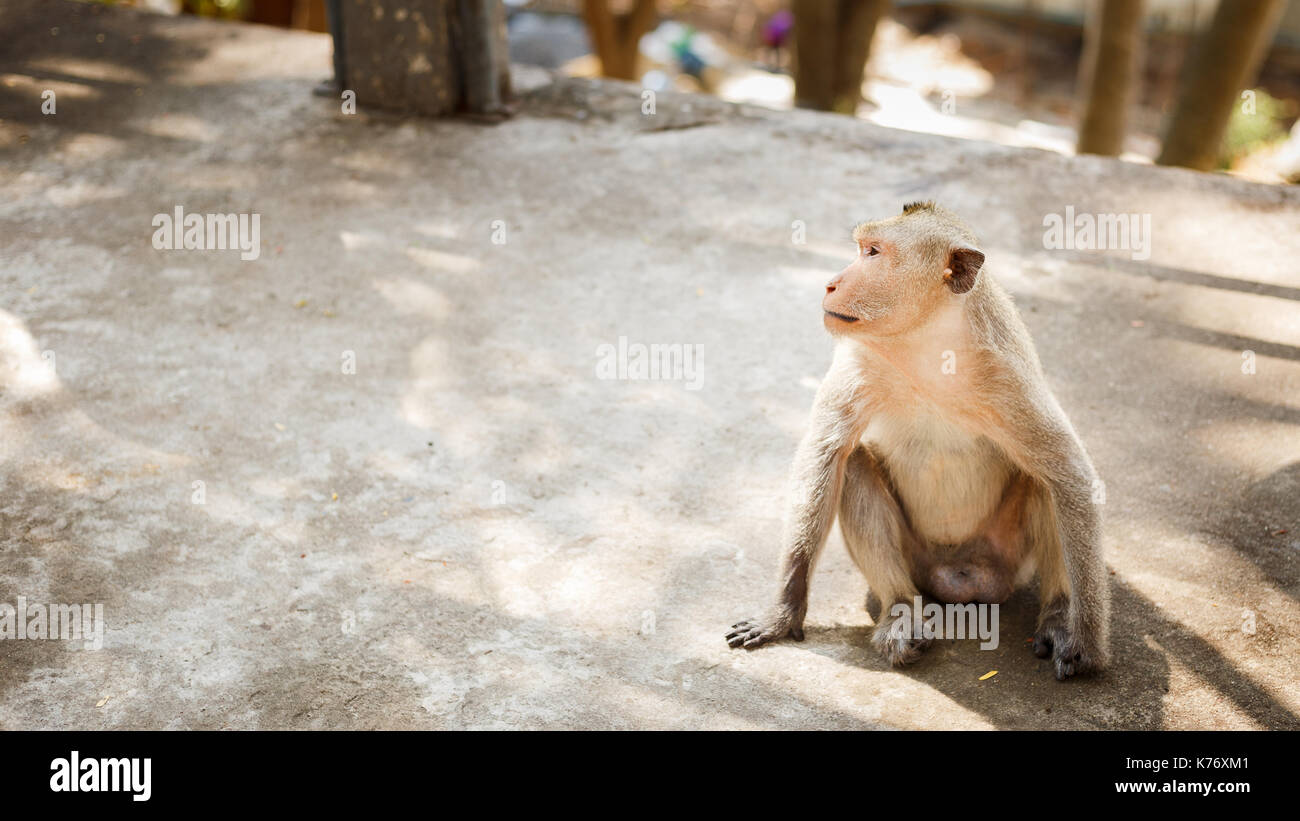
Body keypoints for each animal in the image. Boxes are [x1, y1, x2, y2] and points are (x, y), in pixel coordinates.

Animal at [722, 200, 1107, 680]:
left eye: (872, 252)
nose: (831, 283)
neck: (926, 347)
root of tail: (959, 575)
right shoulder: (859, 359)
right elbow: (827, 456)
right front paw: (783, 612)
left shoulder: (1008, 376)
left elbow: (1071, 477)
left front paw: (1085, 641)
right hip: (919, 559)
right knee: (855, 465)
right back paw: (901, 612)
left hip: (1005, 554)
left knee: (1043, 479)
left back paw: (1055, 614)